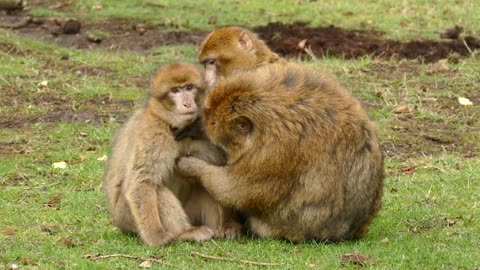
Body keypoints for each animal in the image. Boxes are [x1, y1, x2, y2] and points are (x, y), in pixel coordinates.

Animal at [103, 61, 242, 247]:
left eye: (189, 88)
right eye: (175, 91)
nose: (187, 103)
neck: (170, 123)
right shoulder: (153, 134)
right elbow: (141, 182)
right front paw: (156, 237)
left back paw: (224, 226)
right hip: (127, 217)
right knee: (156, 188)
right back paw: (185, 233)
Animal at [178, 62, 384, 244]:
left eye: (213, 123)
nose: (204, 120)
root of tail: (351, 232)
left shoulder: (271, 153)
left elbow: (235, 189)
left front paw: (192, 167)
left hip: (285, 228)